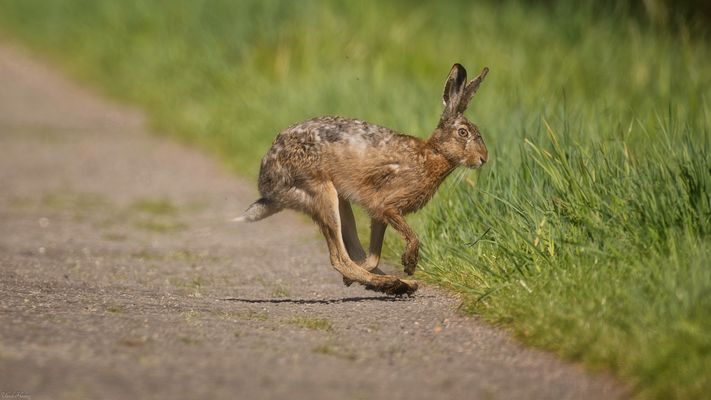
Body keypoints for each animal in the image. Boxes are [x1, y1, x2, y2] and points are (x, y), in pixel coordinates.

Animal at [236, 63, 489, 296]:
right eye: (463, 132)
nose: (483, 158)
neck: (431, 155)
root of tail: (267, 184)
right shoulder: (388, 206)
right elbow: (408, 237)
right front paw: (409, 264)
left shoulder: (379, 216)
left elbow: (373, 256)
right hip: (322, 193)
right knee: (340, 259)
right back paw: (389, 282)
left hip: (340, 202)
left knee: (353, 254)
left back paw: (398, 285)